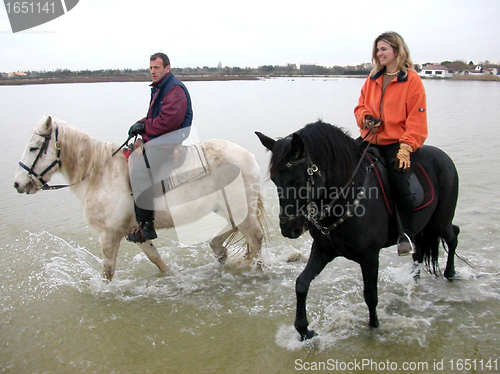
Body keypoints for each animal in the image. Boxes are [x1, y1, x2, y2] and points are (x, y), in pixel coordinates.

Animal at [13, 114, 266, 280]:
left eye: (34, 148)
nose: (17, 184)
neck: (102, 173)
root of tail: (250, 157)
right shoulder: (137, 231)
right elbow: (156, 258)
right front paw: (173, 275)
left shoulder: (109, 234)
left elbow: (107, 271)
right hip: (228, 208)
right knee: (234, 231)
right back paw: (220, 251)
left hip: (239, 209)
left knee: (254, 237)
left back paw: (253, 270)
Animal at [256, 121, 458, 340]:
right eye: (275, 181)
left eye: (298, 182)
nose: (289, 229)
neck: (347, 195)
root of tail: (444, 157)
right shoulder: (323, 249)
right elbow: (301, 284)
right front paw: (304, 329)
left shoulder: (369, 256)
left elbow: (370, 295)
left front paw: (374, 326)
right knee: (419, 251)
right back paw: (414, 280)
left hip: (440, 222)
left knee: (453, 235)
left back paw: (450, 273)